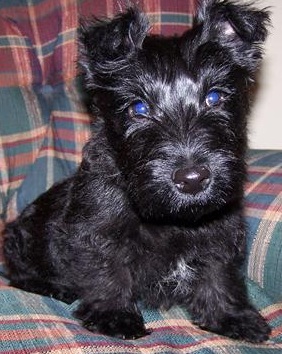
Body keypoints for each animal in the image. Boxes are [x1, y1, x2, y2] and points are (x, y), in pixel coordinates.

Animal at [2, 0, 270, 342]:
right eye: (138, 108)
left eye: (215, 97)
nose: (192, 180)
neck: (171, 217)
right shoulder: (97, 230)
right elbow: (108, 270)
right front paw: (114, 316)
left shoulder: (220, 231)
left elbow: (218, 275)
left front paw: (231, 316)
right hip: (20, 242)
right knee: (19, 276)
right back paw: (54, 287)